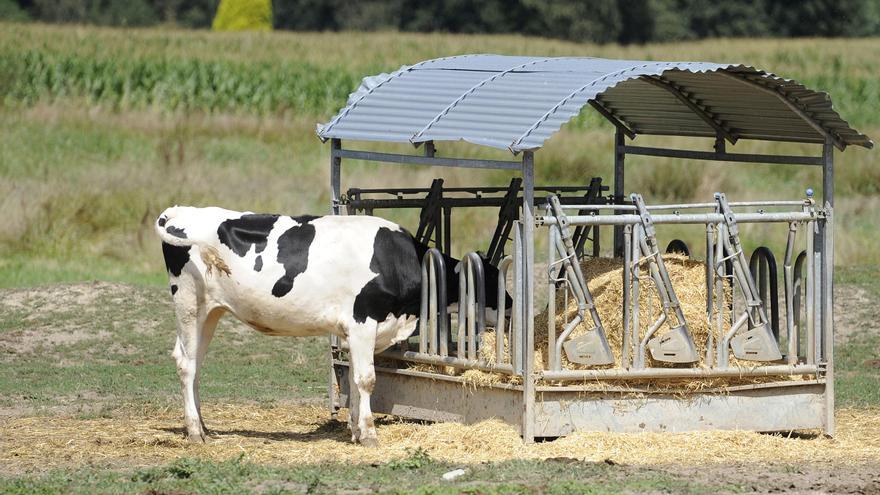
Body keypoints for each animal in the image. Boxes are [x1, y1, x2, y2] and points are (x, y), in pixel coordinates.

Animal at [155, 207, 506, 448]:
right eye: (491, 282)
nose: (512, 309)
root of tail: (179, 210)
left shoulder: (355, 331)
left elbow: (353, 379)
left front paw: (355, 431)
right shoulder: (363, 321)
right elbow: (366, 380)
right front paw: (369, 435)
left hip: (210, 312)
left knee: (195, 362)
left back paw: (203, 426)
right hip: (189, 303)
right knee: (186, 363)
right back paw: (195, 431)